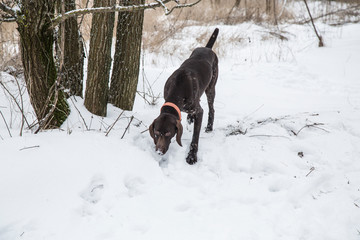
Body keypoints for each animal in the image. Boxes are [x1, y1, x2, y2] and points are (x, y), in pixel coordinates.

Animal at [150, 27, 219, 164]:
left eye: (168, 133)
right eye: (156, 132)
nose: (159, 152)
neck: (178, 90)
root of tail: (207, 48)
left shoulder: (199, 112)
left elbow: (195, 138)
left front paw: (192, 156)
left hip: (211, 88)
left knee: (211, 108)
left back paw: (209, 127)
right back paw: (190, 118)